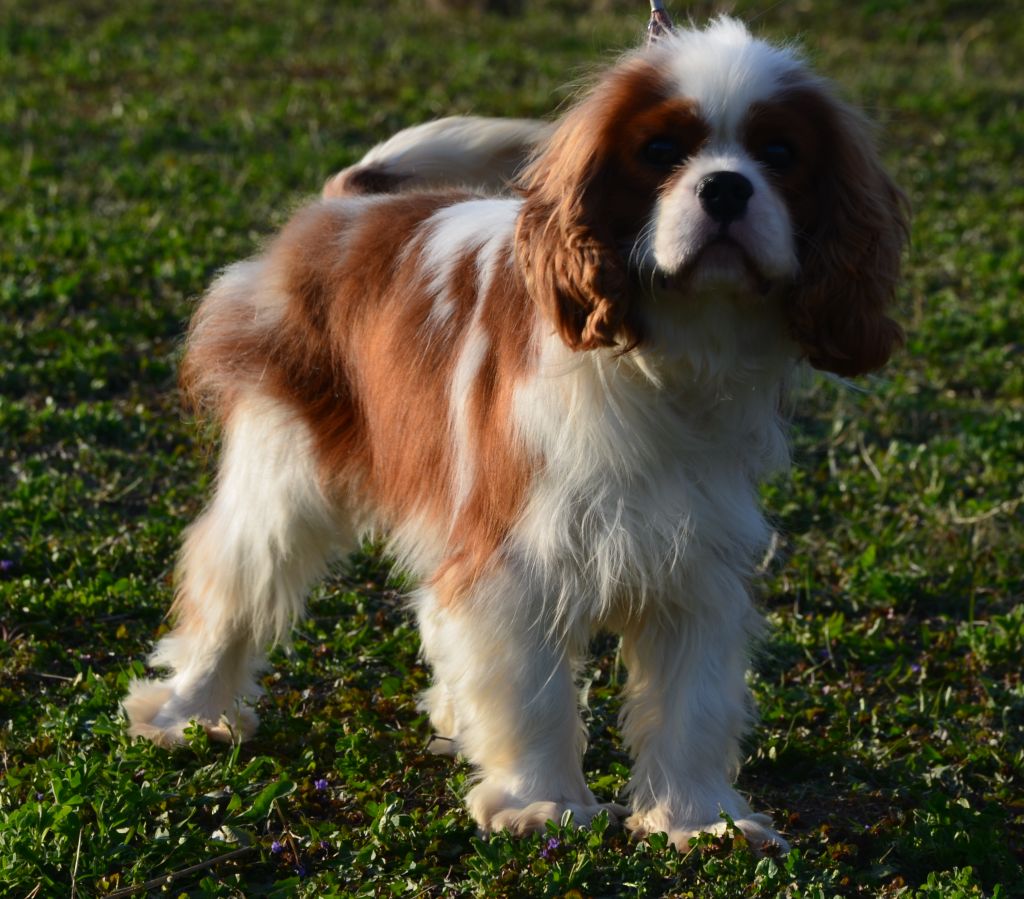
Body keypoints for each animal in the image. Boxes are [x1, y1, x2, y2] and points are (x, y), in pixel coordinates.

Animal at [125, 17, 905, 855]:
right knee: (233, 577)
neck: (671, 353)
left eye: (781, 154)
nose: (726, 186)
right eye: (661, 150)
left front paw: (698, 818)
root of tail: (341, 209)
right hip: (288, 468)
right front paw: (542, 803)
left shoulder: (692, 557)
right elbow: (532, 687)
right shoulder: (520, 550)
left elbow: (692, 699)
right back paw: (187, 709)